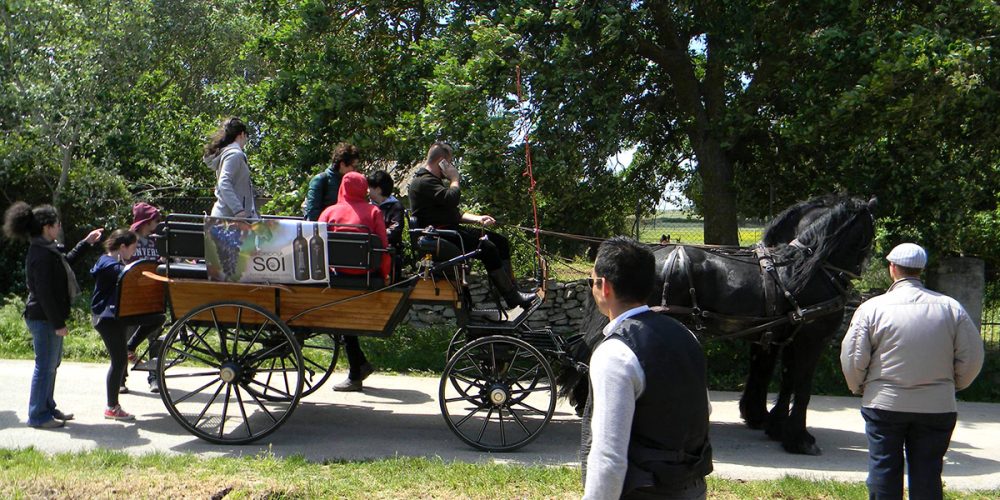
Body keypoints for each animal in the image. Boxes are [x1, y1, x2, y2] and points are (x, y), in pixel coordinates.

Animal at [564, 195, 876, 458]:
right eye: (868, 233)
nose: (857, 271)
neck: (802, 268)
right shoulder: (811, 338)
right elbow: (801, 386)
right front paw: (800, 438)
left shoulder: (782, 335)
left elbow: (781, 379)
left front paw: (771, 423)